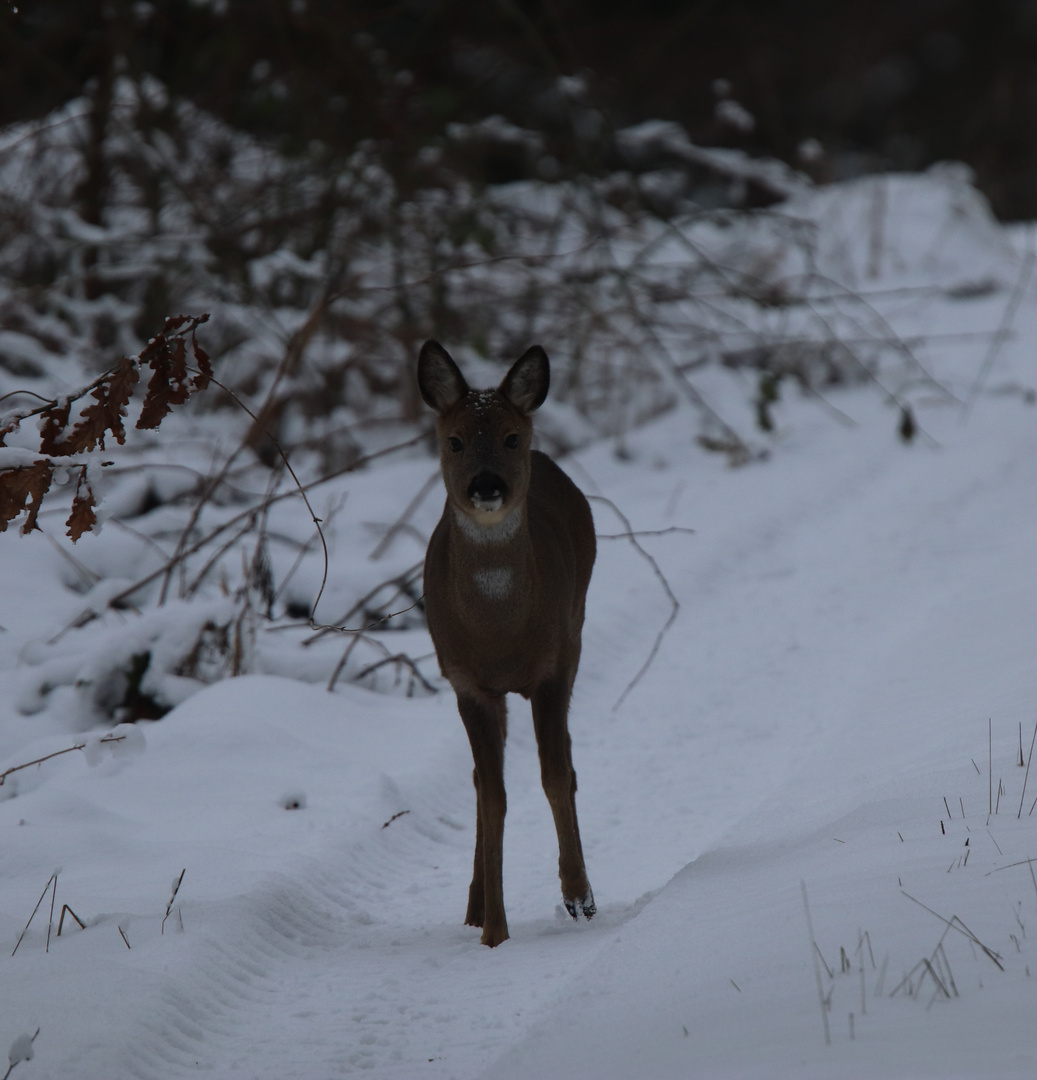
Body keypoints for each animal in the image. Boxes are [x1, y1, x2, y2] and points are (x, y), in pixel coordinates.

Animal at [416, 336, 596, 946]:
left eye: (511, 437)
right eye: (454, 440)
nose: (487, 486)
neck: (498, 633)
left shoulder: (550, 668)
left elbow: (553, 775)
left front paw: (577, 894)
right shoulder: (466, 683)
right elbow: (493, 796)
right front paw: (495, 930)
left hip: (576, 632)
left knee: (567, 760)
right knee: (480, 781)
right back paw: (474, 905)